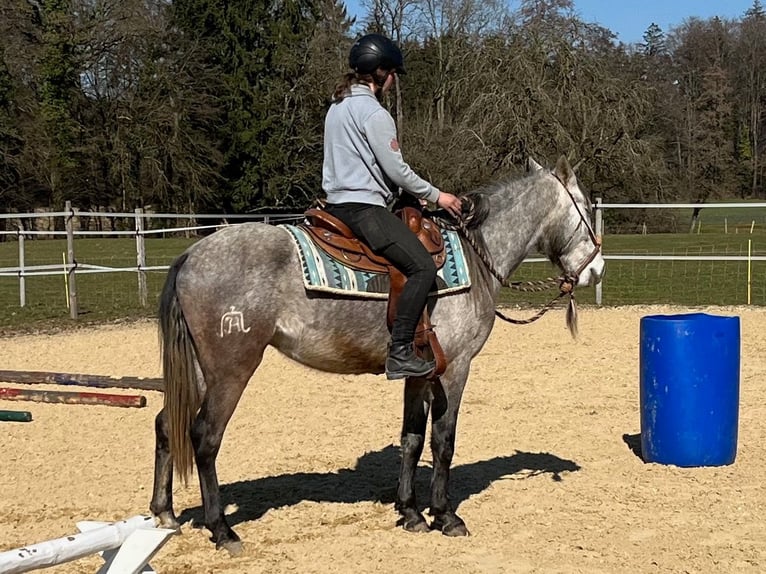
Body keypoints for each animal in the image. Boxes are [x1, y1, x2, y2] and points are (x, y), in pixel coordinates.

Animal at [150, 155, 608, 556]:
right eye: (585, 207)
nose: (596, 270)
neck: (478, 258)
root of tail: (191, 255)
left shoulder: (419, 373)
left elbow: (412, 439)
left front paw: (410, 511)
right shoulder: (456, 369)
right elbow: (443, 441)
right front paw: (445, 515)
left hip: (201, 370)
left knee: (166, 425)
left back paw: (165, 513)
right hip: (232, 370)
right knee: (204, 437)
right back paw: (222, 530)